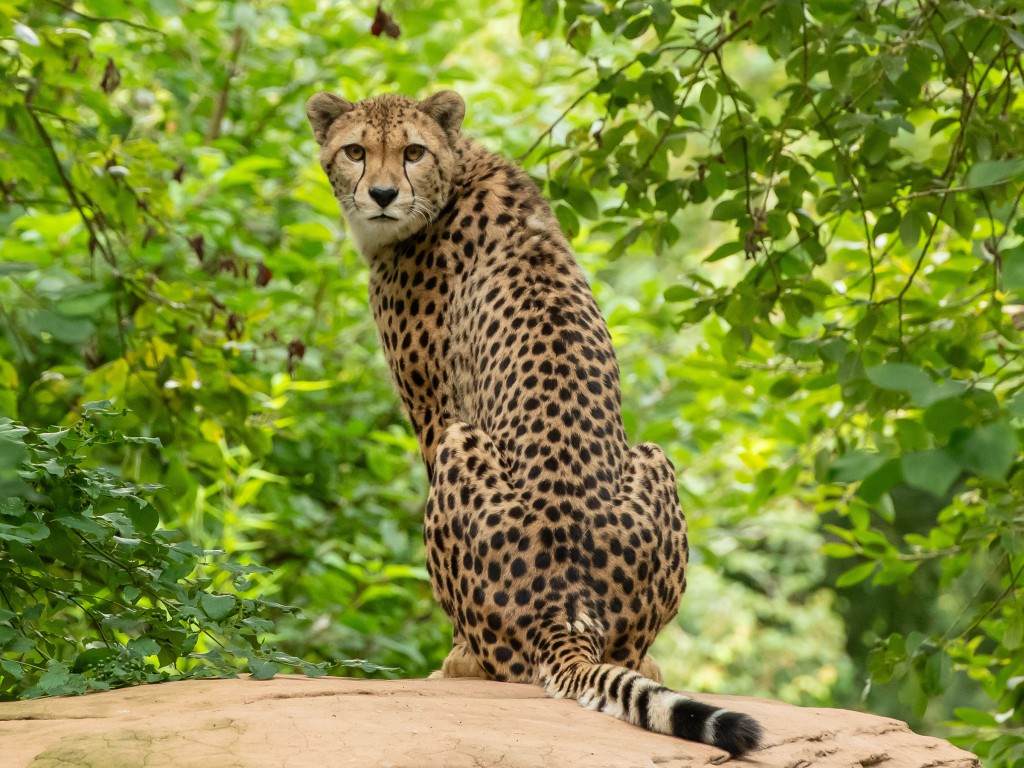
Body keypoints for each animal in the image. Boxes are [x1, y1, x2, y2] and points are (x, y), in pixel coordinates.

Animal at [306, 88, 762, 756]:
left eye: (413, 151)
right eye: (355, 151)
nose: (383, 194)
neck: (453, 176)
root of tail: (567, 608)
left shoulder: (435, 411)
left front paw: (453, 655)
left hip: (461, 443)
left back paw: (463, 660)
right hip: (651, 457)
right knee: (631, 649)